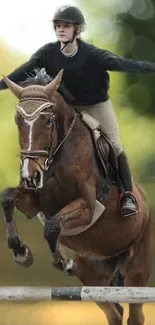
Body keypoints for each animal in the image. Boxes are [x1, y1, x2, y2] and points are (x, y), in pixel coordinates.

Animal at [0, 69, 153, 324]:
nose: (30, 176)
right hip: (92, 274)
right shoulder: (34, 202)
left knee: (135, 314)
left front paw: (61, 262)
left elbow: (52, 226)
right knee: (114, 313)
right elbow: (7, 197)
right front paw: (21, 252)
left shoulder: (88, 208)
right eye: (17, 121)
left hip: (137, 270)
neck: (57, 157)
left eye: (48, 121)